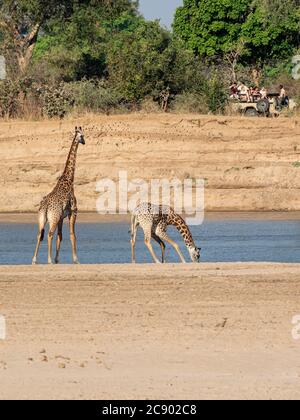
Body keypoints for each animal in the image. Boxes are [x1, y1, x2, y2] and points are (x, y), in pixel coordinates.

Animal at [31, 125, 85, 266]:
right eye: (82, 135)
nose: (84, 142)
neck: (69, 179)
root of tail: (45, 208)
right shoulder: (73, 211)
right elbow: (72, 234)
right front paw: (76, 259)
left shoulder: (62, 216)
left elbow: (60, 236)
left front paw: (57, 259)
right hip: (53, 218)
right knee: (49, 234)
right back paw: (48, 260)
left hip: (42, 218)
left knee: (39, 234)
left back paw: (34, 260)